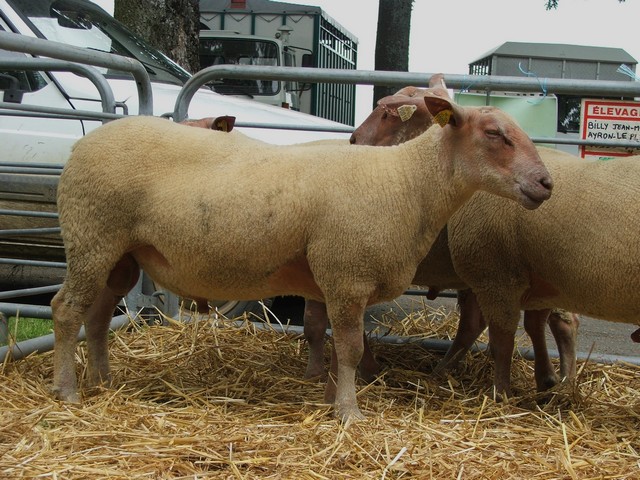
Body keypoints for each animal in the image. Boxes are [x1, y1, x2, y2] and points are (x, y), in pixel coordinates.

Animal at [50, 91, 552, 420]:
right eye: (495, 134)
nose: (546, 183)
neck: (407, 182)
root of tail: (83, 144)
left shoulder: (335, 279)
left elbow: (333, 341)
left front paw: (331, 396)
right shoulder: (347, 273)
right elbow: (350, 348)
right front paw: (349, 413)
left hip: (120, 254)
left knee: (97, 315)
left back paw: (102, 380)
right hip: (91, 234)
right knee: (65, 309)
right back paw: (67, 391)